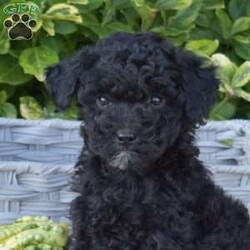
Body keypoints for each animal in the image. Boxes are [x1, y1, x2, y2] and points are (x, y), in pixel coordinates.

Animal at [47, 32, 250, 249]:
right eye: (102, 100)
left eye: (156, 100)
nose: (125, 137)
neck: (128, 181)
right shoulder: (90, 224)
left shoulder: (168, 230)